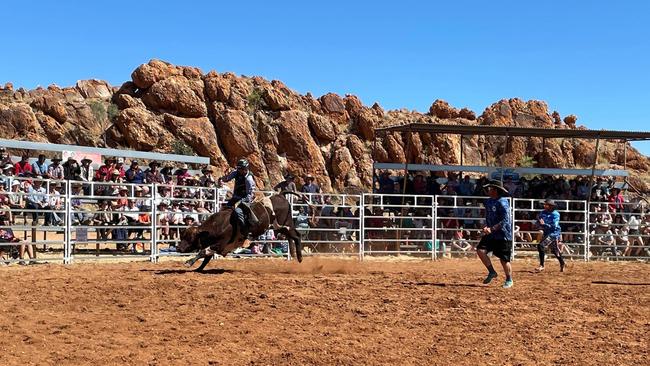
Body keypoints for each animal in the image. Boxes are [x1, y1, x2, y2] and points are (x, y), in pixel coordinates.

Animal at [177, 192, 308, 272]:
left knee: (297, 236)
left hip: (285, 224)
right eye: (182, 236)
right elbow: (206, 258)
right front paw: (198, 269)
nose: (179, 248)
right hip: (281, 227)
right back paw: (295, 256)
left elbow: (203, 252)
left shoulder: (221, 244)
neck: (217, 225)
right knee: (292, 237)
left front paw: (189, 262)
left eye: (189, 237)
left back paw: (300, 257)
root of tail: (280, 195)